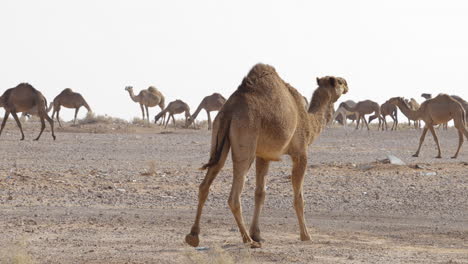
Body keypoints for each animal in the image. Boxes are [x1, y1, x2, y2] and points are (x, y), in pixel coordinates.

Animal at [184, 63, 348, 248]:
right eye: (339, 82)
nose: (347, 84)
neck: (309, 122)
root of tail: (230, 109)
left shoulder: (263, 155)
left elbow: (260, 193)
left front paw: (257, 234)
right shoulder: (300, 153)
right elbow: (298, 197)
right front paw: (305, 235)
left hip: (219, 136)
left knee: (205, 184)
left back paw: (193, 235)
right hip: (246, 139)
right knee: (234, 194)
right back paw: (247, 240)